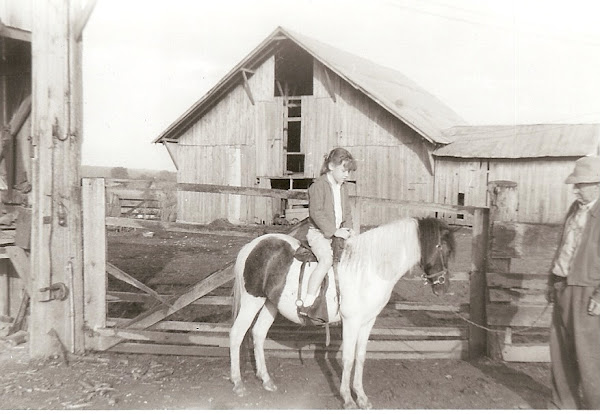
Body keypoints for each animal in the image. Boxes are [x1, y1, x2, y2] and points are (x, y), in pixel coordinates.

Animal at [229, 215, 454, 410]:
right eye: (440, 247)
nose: (443, 287)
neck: (370, 268)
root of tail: (253, 245)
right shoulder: (351, 321)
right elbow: (348, 358)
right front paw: (347, 398)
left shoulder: (368, 322)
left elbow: (360, 357)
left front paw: (362, 397)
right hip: (252, 300)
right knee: (237, 334)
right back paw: (238, 383)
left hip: (270, 303)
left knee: (258, 334)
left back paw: (266, 380)